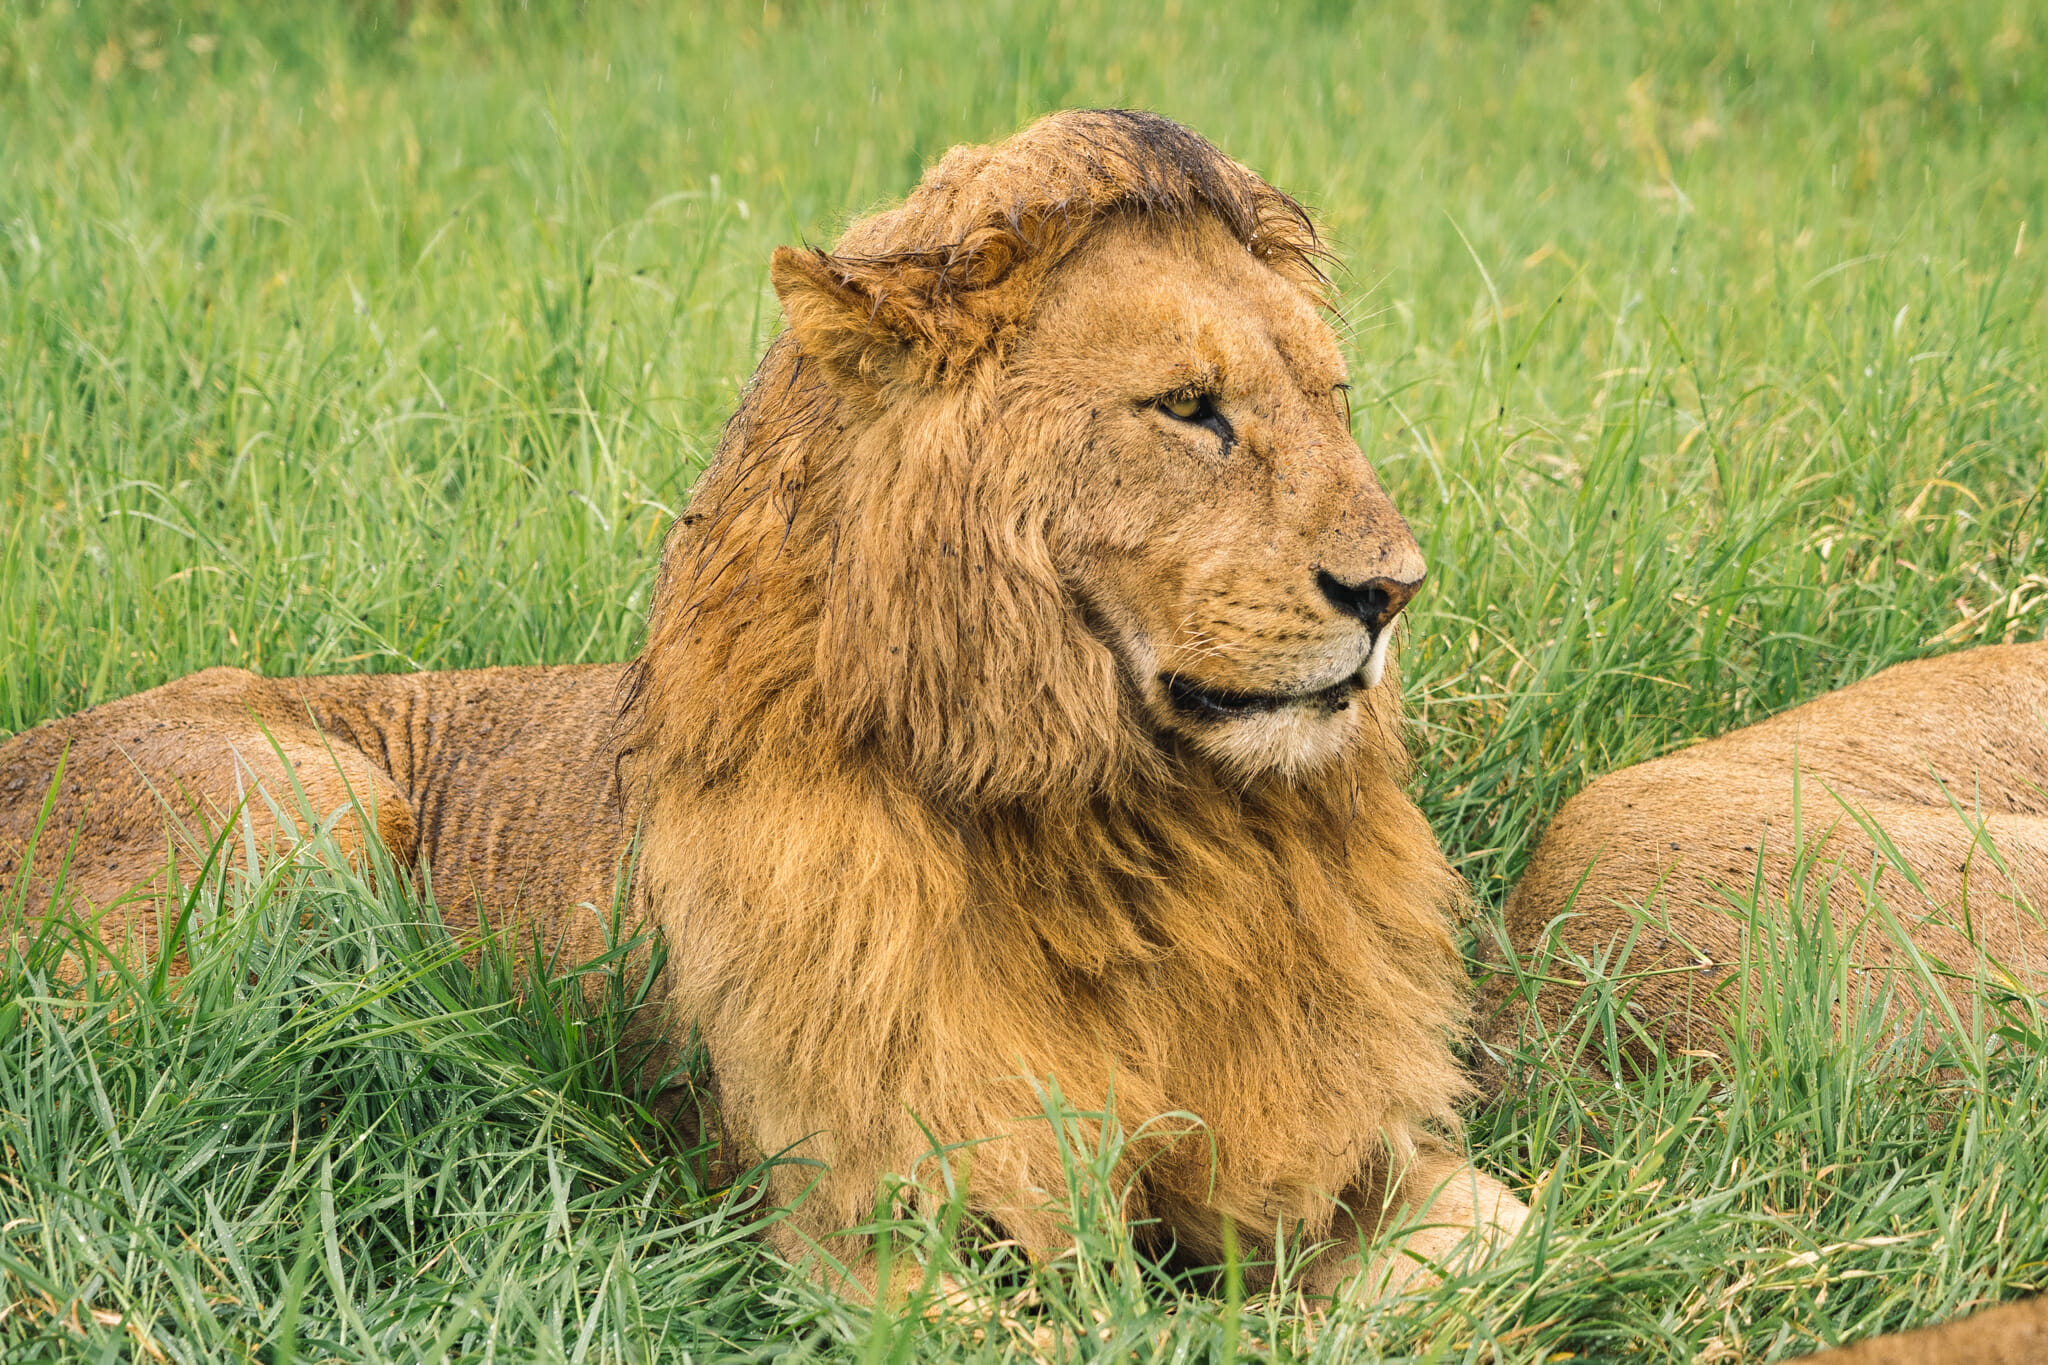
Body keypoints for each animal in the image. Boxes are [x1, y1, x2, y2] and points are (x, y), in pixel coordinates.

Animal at [0, 110, 1526, 1297]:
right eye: (1188, 408)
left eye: (1332, 401)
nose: (1394, 589)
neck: (1138, 833)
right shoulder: (859, 1220)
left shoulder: (1363, 1151)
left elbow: (1511, 1243)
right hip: (306, 808)